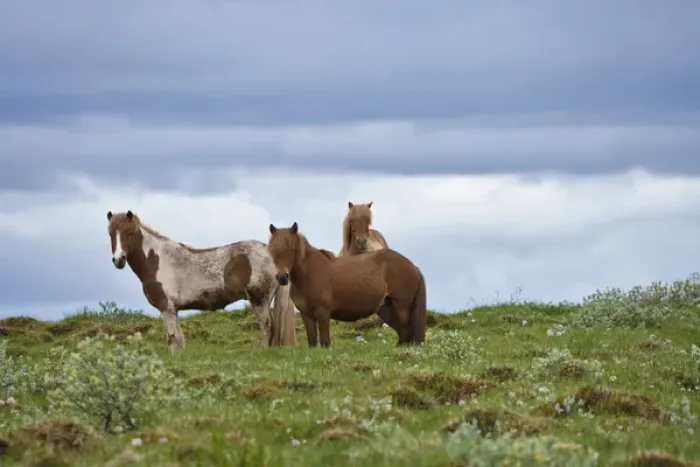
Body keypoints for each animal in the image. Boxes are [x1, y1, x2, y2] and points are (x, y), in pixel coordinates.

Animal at [106, 210, 296, 353]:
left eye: (129, 233)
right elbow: (179, 340)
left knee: (267, 327)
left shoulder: (166, 307)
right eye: (111, 234)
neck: (157, 260)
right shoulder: (174, 309)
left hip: (259, 300)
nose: (118, 260)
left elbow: (172, 339)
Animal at [267, 221, 427, 348]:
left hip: (401, 306)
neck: (310, 275)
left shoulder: (323, 313)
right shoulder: (307, 315)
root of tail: (414, 267)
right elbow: (312, 342)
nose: (282, 277)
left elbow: (325, 342)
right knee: (404, 332)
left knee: (407, 329)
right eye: (273, 251)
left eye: (292, 250)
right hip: (386, 308)